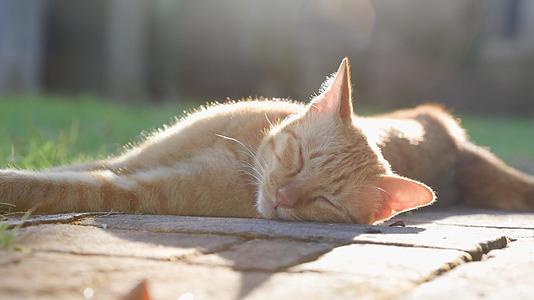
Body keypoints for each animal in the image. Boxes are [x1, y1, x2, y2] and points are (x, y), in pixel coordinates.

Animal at [1, 58, 534, 224]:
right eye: (296, 158)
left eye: (326, 202)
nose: (281, 196)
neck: (243, 152)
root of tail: (458, 145)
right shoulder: (129, 159)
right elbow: (62, 170)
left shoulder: (131, 187)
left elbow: (52, 187)